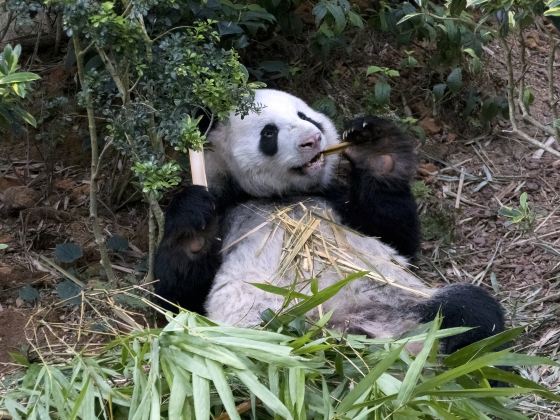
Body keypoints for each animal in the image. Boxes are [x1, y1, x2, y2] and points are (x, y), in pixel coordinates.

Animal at [155, 89, 506, 354]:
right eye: (269, 132)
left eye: (304, 116)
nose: (312, 139)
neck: (283, 197)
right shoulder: (230, 208)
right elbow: (177, 298)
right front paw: (194, 222)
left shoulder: (336, 203)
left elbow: (395, 236)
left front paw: (377, 148)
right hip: (257, 332)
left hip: (399, 300)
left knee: (471, 314)